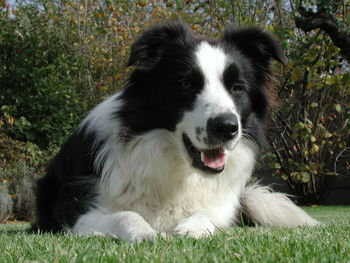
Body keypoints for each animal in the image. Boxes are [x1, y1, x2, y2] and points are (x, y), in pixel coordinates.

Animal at [32, 21, 320, 242]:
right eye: (185, 84)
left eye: (237, 88)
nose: (226, 127)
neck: (179, 168)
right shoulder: (75, 213)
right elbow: (125, 214)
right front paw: (145, 233)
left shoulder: (218, 208)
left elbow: (206, 215)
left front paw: (192, 229)